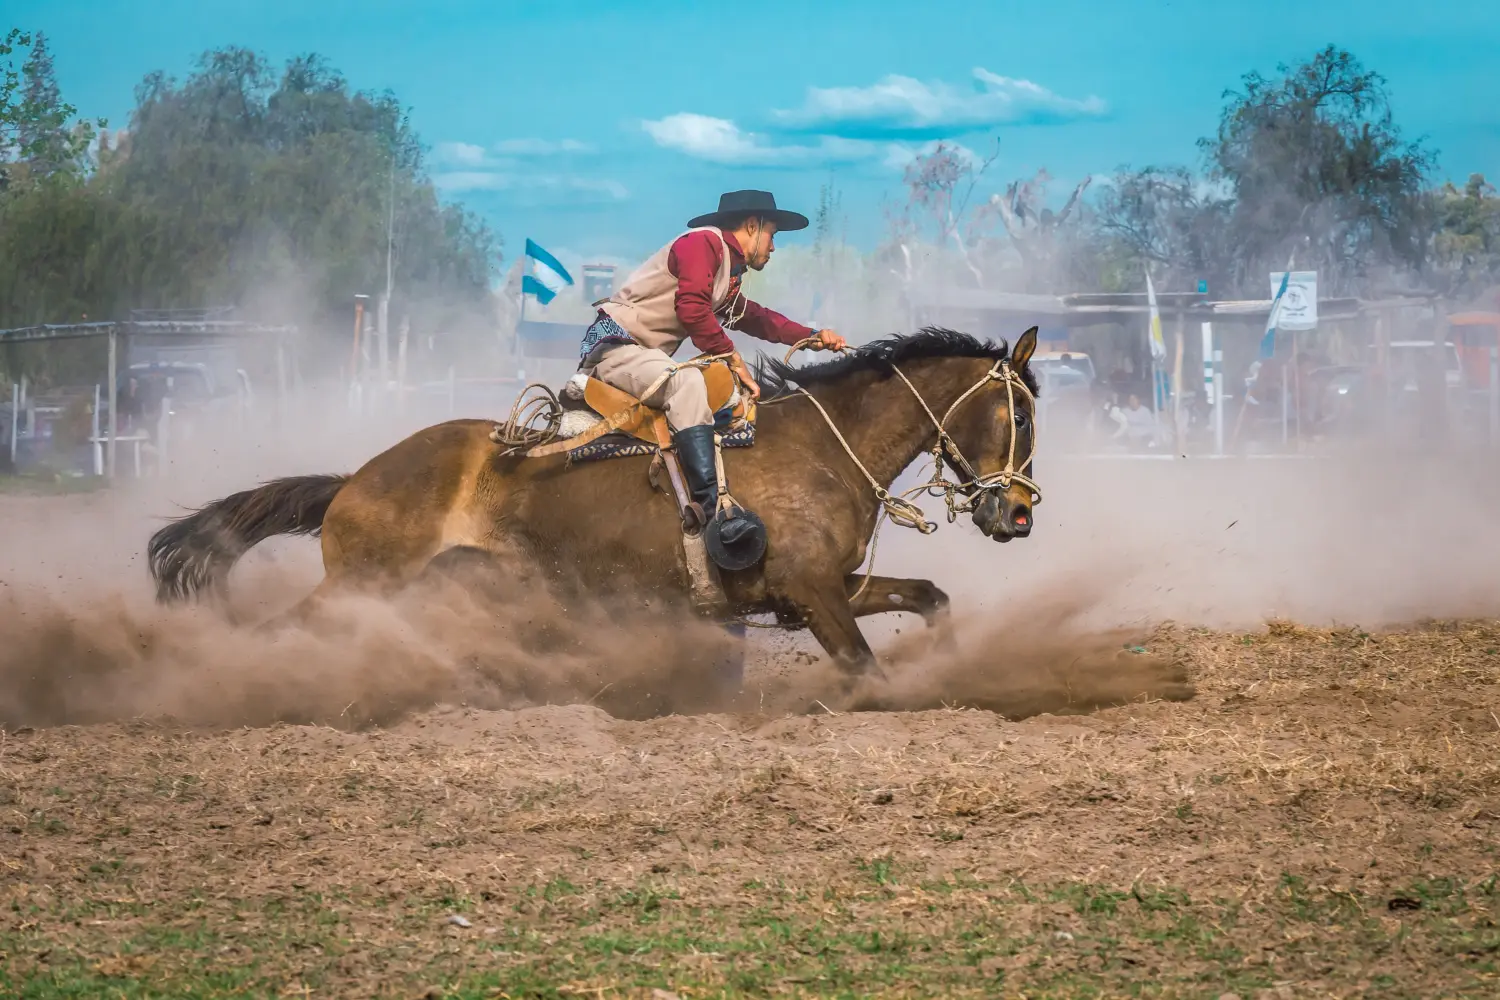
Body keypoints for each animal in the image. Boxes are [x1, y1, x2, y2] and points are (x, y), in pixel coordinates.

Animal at [147, 326, 1042, 678]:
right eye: (1023, 413)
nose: (1018, 513)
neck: (825, 446)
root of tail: (357, 478)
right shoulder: (814, 593)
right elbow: (864, 665)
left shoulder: (815, 588)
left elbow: (929, 596)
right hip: (362, 584)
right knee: (282, 629)